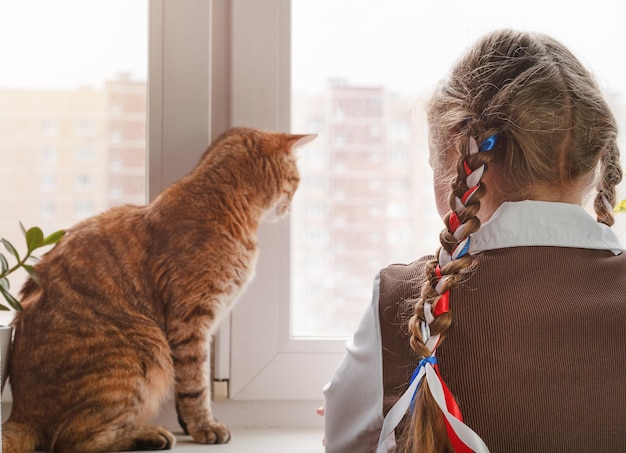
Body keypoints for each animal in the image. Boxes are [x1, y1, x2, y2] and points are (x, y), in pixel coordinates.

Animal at [2, 127, 314, 452]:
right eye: (296, 181)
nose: (291, 206)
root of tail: (20, 415)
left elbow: (186, 384)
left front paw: (188, 424)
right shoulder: (191, 322)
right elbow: (196, 383)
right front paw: (204, 425)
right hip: (143, 353)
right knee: (75, 442)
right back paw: (149, 435)